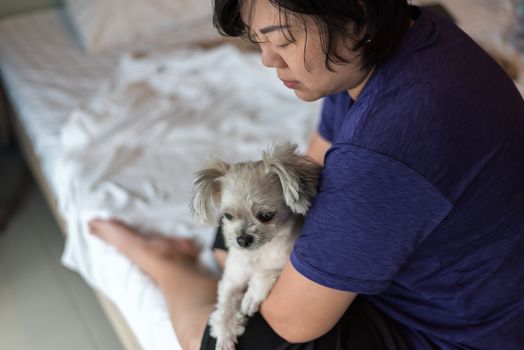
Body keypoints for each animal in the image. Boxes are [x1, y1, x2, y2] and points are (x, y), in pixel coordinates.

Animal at [190, 144, 322, 348]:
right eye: (227, 216)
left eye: (266, 216)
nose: (242, 240)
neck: (257, 254)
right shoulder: (232, 279)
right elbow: (226, 305)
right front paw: (224, 335)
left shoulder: (284, 266)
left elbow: (265, 274)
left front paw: (251, 297)